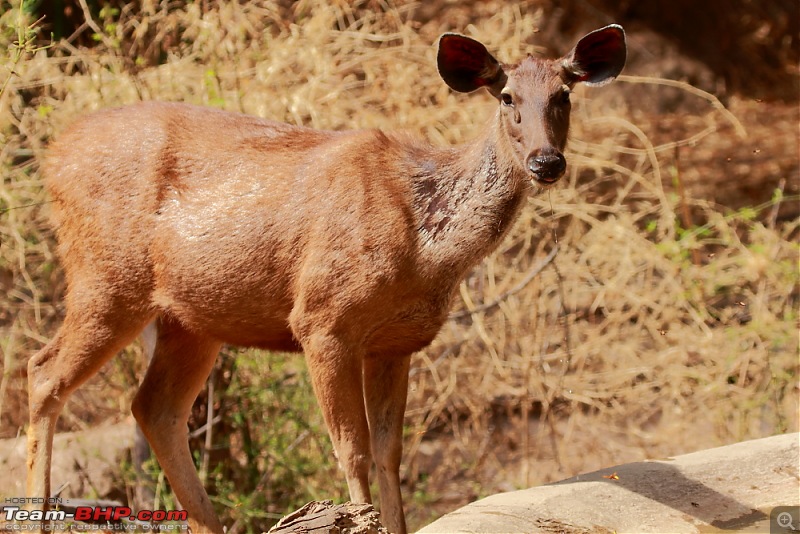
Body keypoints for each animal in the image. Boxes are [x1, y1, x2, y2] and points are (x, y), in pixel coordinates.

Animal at [25, 26, 624, 534]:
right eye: (507, 98)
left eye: (564, 95)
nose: (547, 161)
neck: (425, 249)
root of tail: (51, 156)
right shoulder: (322, 318)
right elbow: (350, 448)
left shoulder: (396, 342)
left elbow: (389, 452)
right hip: (106, 276)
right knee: (43, 373)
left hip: (191, 318)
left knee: (156, 409)